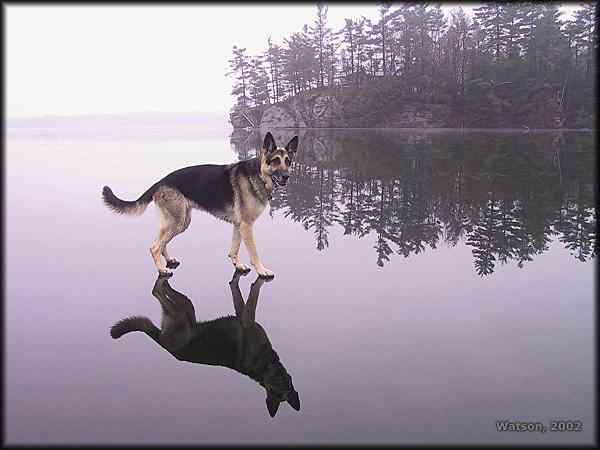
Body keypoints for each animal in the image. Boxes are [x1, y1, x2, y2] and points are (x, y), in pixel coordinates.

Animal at [105, 132, 300, 276]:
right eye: (275, 161)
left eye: (288, 162)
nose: (286, 176)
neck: (258, 174)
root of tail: (161, 181)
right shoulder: (247, 226)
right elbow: (254, 252)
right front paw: (261, 270)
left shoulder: (239, 225)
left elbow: (234, 248)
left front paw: (237, 265)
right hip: (177, 222)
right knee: (154, 247)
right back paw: (162, 269)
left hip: (180, 222)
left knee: (159, 241)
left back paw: (168, 259)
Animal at [109, 268, 298, 418]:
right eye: (274, 389)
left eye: (283, 387)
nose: (277, 380)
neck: (264, 365)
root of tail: (164, 345)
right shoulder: (247, 320)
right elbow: (254, 293)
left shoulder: (242, 314)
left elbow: (236, 290)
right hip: (181, 316)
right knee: (155, 292)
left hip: (187, 308)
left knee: (164, 291)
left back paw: (166, 276)